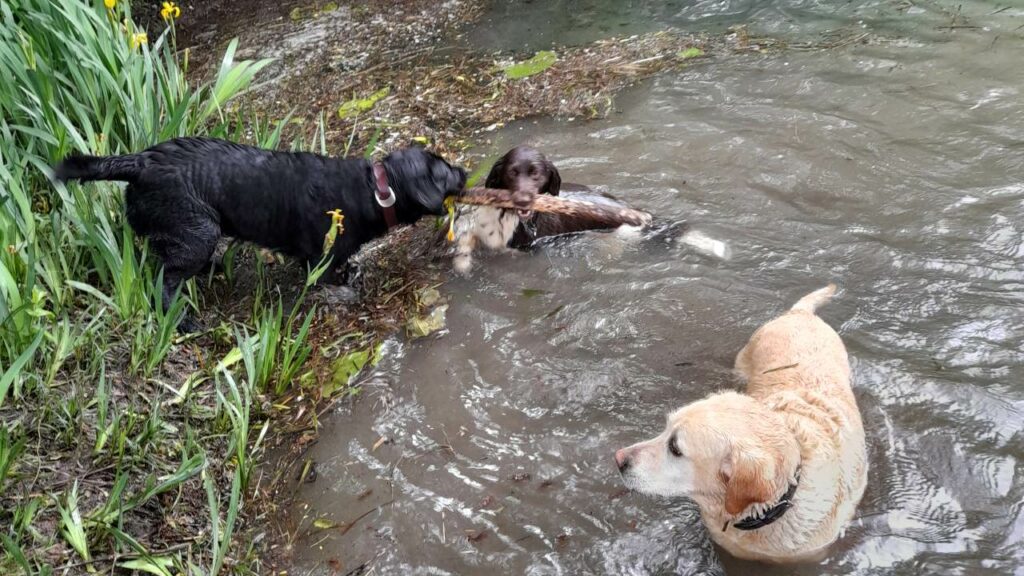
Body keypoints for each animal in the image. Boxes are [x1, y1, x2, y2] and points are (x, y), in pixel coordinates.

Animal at [58, 136, 466, 330]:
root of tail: (139, 162)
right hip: (200, 229)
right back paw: (184, 320)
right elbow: (329, 278)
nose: (464, 172)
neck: (373, 190)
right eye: (444, 170)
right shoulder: (319, 260)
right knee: (164, 279)